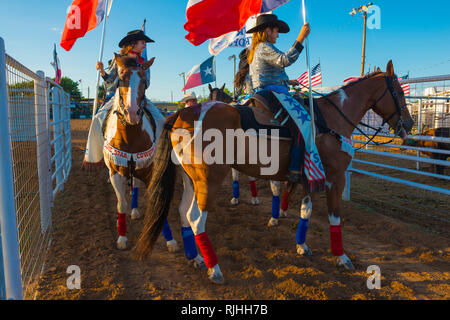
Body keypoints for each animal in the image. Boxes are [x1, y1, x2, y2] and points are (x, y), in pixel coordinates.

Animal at [134, 61, 414, 284]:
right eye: (399, 91)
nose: (409, 124)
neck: (329, 120)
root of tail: (183, 113)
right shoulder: (334, 179)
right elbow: (335, 218)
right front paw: (341, 257)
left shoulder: (310, 178)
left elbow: (305, 211)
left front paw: (301, 245)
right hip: (208, 180)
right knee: (195, 218)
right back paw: (215, 269)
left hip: (190, 179)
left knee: (183, 212)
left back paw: (195, 258)